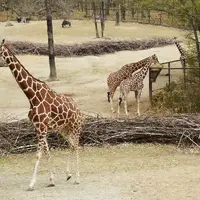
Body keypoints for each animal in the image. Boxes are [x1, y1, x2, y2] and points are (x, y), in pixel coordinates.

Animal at [0, 39, 85, 191]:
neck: (32, 96)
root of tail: (79, 110)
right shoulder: (38, 127)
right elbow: (46, 151)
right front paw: (51, 180)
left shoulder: (42, 127)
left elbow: (38, 154)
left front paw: (31, 184)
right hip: (64, 129)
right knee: (71, 145)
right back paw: (68, 174)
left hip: (76, 127)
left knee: (76, 146)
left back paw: (77, 178)